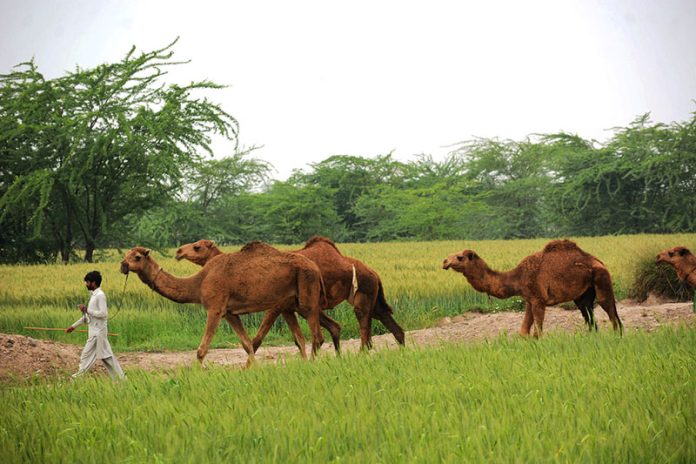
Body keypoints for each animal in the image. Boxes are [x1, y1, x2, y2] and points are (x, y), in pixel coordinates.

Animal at [120, 241, 326, 364]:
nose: (123, 265)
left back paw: (312, 364)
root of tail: (316, 268)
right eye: (126, 255)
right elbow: (247, 345)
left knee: (317, 336)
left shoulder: (215, 308)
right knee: (302, 337)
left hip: (307, 295)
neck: (199, 283)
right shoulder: (229, 313)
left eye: (137, 257)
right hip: (291, 302)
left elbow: (201, 349)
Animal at [175, 237, 408, 350]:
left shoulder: (278, 304)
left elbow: (258, 338)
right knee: (389, 323)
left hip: (363, 293)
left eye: (197, 247)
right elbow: (302, 337)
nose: (178, 251)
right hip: (373, 297)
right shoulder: (289, 306)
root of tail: (375, 272)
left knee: (364, 326)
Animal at [444, 239, 624, 338]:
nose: (444, 261)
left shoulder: (538, 299)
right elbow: (523, 332)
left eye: (459, 257)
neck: (517, 278)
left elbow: (537, 333)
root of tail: (600, 262)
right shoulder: (529, 300)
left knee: (610, 311)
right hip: (583, 293)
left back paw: (617, 337)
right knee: (589, 315)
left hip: (601, 278)